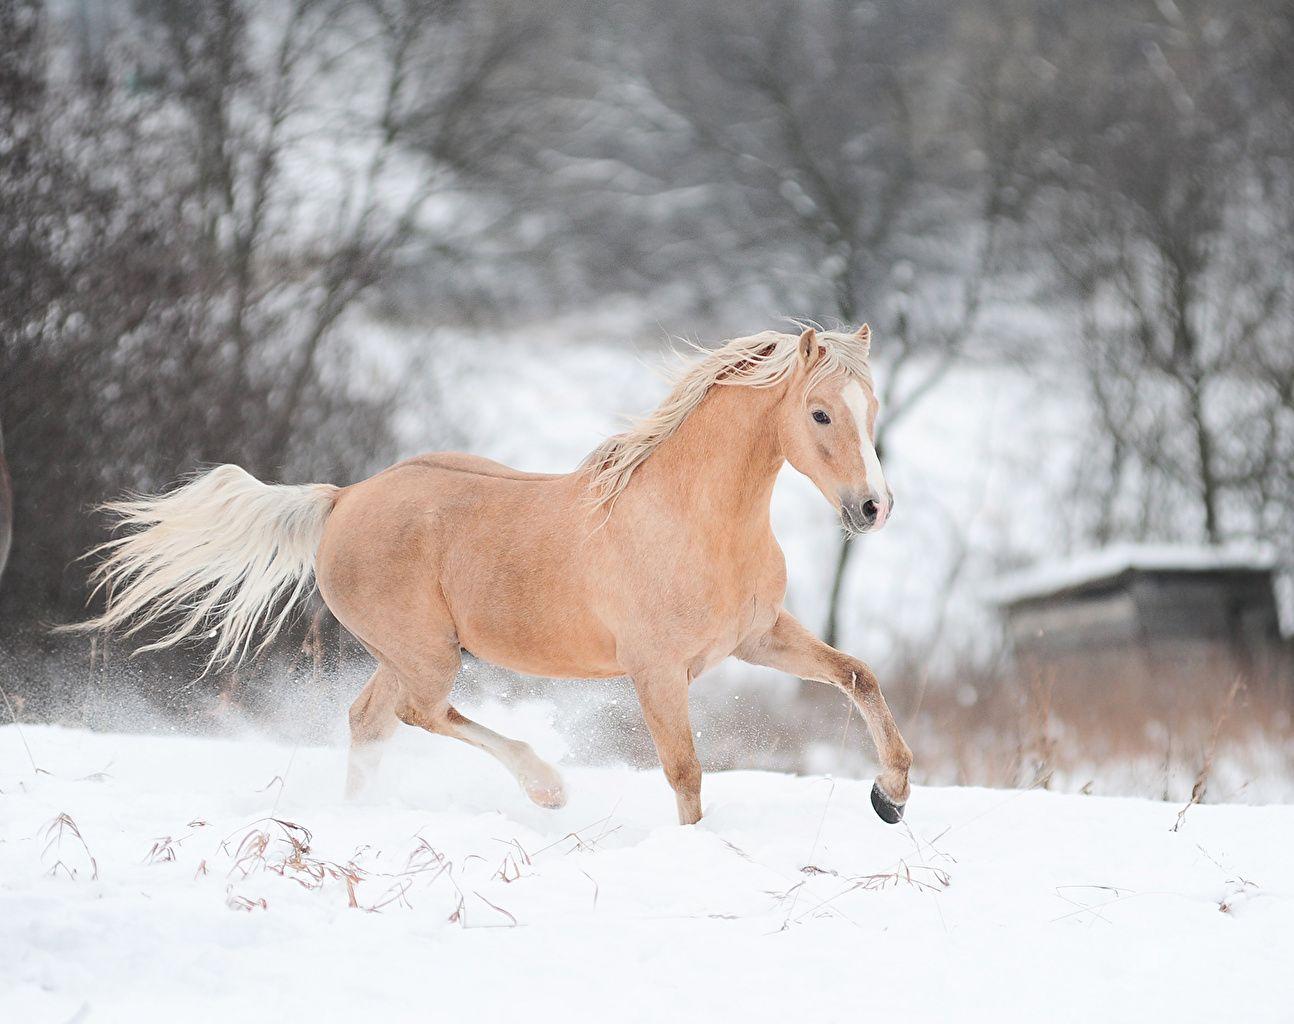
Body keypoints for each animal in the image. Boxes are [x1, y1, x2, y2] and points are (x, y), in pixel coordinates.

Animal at [69, 324, 913, 825]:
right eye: (820, 414)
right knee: (419, 714)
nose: (873, 508)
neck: (691, 519)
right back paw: (545, 786)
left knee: (370, 721)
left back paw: (359, 820)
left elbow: (859, 676)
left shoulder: (758, 638)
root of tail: (342, 500)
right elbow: (686, 772)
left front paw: (892, 795)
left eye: (871, 408)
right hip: (428, 653)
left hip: (405, 654)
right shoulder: (656, 670)